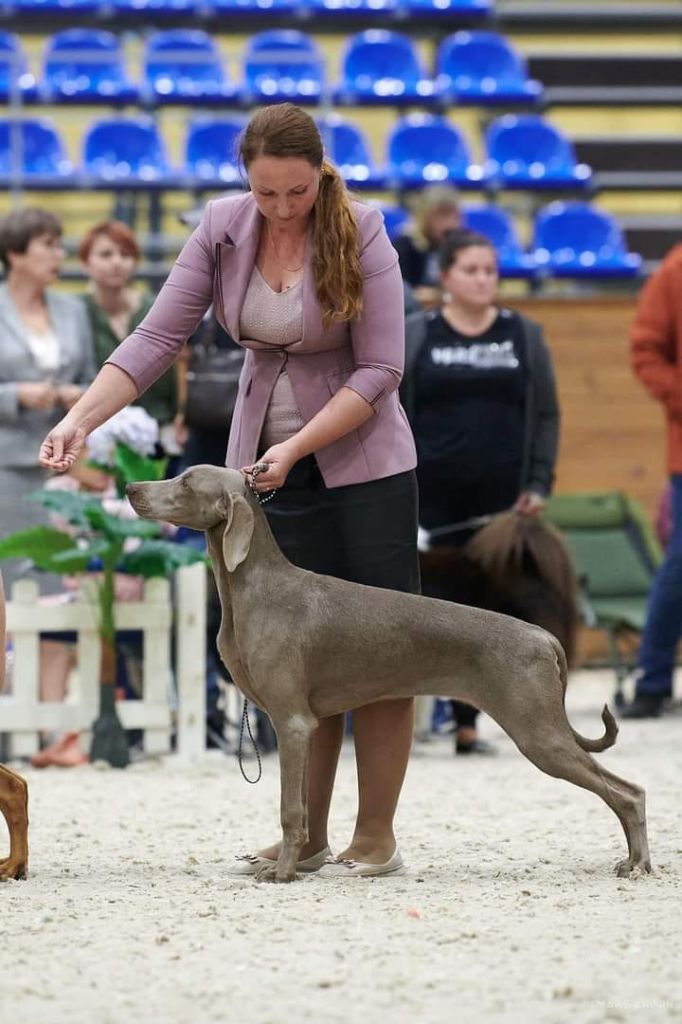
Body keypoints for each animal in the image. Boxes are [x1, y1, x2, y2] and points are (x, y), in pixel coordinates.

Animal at [124, 468, 651, 884]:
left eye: (186, 482)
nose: (131, 487)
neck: (254, 590)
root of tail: (544, 637)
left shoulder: (292, 722)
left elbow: (290, 808)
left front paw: (284, 873)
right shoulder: (303, 724)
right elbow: (305, 803)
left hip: (538, 732)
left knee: (629, 792)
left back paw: (638, 865)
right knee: (627, 790)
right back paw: (633, 861)